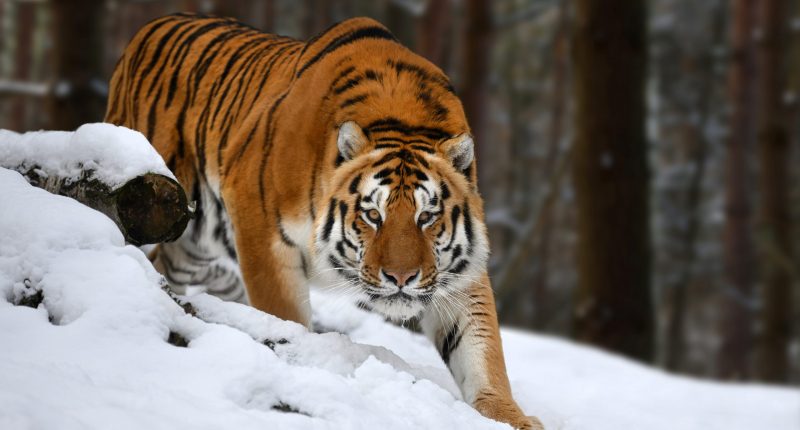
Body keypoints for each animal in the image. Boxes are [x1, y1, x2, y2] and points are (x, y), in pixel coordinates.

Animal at [106, 13, 544, 430]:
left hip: (189, 235)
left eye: (426, 216)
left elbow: (480, 348)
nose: (401, 278)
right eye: (373, 215)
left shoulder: (458, 272)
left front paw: (511, 416)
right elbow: (284, 314)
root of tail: (150, 27)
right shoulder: (261, 229)